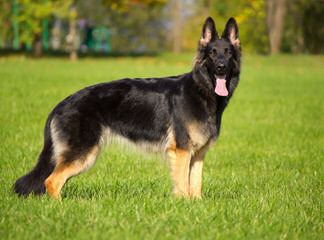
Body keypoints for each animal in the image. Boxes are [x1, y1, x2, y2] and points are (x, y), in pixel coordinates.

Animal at [13, 16, 240, 200]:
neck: (202, 91)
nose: (221, 67)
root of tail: (61, 103)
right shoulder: (182, 151)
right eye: (212, 53)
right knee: (51, 181)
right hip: (84, 154)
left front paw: (196, 205)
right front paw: (183, 204)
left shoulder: (199, 154)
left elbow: (196, 184)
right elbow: (183, 184)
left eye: (228, 53)